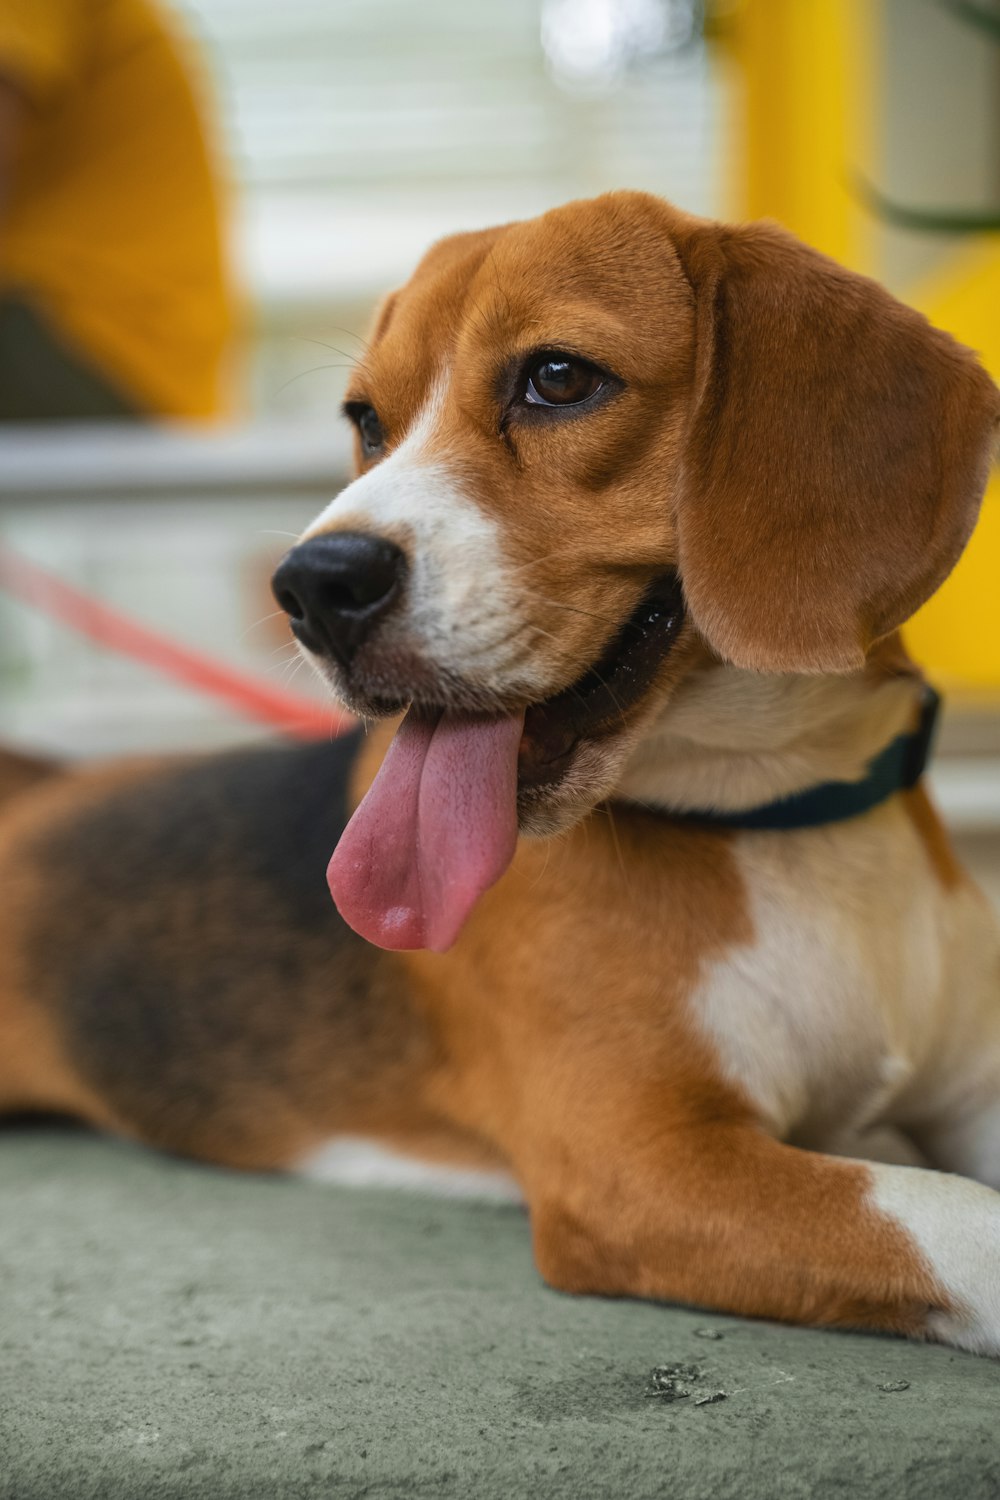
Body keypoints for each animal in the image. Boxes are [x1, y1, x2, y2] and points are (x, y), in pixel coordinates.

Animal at [1, 193, 1000, 1356]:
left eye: (558, 379)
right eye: (367, 421)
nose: (312, 586)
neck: (783, 816)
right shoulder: (639, 1162)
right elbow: (953, 1213)